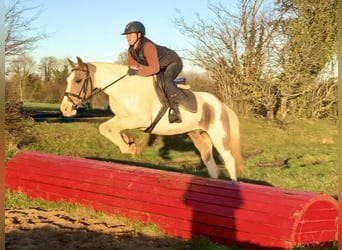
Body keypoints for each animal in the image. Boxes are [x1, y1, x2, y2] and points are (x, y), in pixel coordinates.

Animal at [60, 56, 243, 181]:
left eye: (78, 80)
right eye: (68, 80)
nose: (65, 109)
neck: (124, 89)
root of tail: (222, 105)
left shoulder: (141, 120)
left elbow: (110, 128)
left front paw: (130, 148)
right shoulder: (121, 118)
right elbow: (106, 128)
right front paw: (130, 143)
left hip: (219, 137)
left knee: (229, 161)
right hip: (198, 135)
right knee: (211, 164)